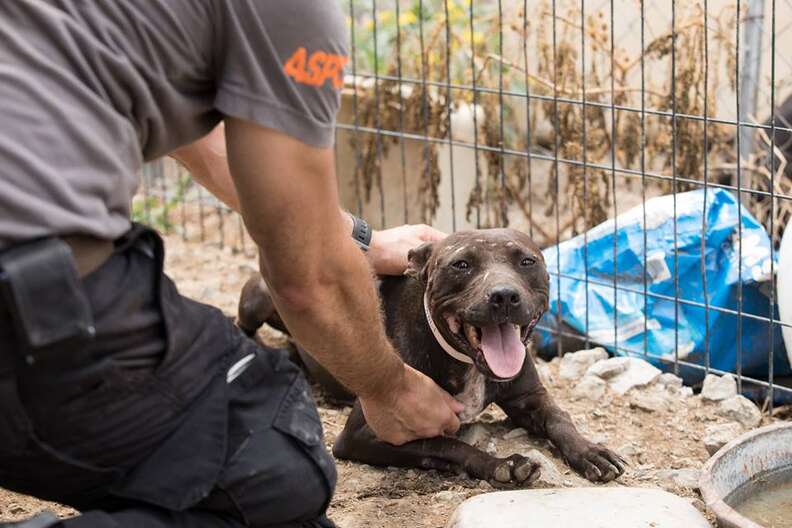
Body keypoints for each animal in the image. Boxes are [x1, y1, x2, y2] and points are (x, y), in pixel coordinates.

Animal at [238, 229, 620, 484]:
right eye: (461, 264)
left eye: (527, 261)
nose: (504, 296)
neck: (467, 363)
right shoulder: (366, 433)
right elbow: (445, 445)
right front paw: (503, 465)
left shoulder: (529, 397)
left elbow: (559, 418)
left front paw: (589, 451)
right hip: (259, 295)